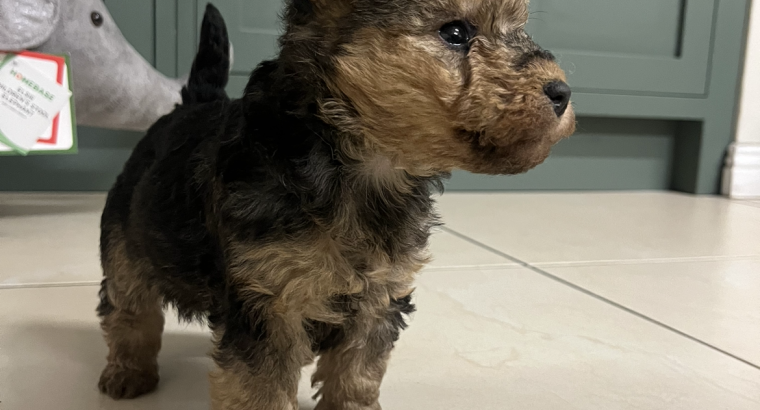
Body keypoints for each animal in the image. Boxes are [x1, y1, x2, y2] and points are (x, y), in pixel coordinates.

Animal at [98, 1, 576, 408]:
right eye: (455, 32)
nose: (562, 91)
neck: (357, 164)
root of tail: (195, 103)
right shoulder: (268, 301)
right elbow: (260, 385)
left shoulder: (380, 293)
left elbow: (359, 368)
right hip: (125, 240)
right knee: (130, 309)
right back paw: (128, 373)